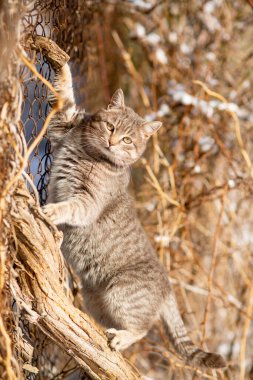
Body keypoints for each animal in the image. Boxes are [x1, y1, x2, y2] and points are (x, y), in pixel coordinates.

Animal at [43, 62, 225, 368]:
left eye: (127, 140)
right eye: (110, 126)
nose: (112, 141)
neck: (89, 152)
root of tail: (167, 286)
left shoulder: (88, 201)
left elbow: (70, 207)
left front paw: (52, 210)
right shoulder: (63, 125)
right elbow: (65, 96)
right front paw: (62, 64)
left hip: (121, 294)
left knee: (143, 328)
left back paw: (122, 337)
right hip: (96, 299)